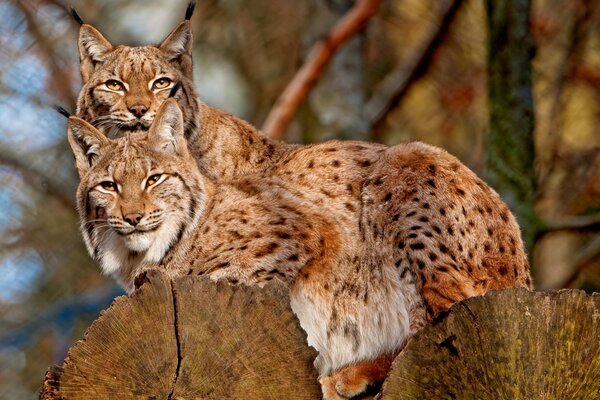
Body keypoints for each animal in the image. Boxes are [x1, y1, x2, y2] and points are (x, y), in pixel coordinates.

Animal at [68, 97, 532, 400]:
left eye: (154, 179)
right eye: (108, 185)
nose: (132, 217)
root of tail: (525, 277)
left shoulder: (307, 233)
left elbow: (228, 275)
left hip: (407, 161)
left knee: (439, 320)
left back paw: (348, 377)